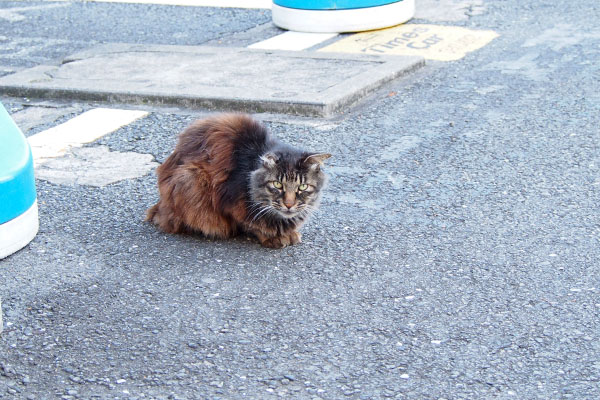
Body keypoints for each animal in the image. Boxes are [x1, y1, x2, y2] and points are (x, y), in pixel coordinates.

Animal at [146, 114, 332, 248]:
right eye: (277, 185)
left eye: (303, 186)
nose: (289, 204)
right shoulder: (229, 201)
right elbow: (251, 224)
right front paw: (273, 237)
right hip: (190, 179)